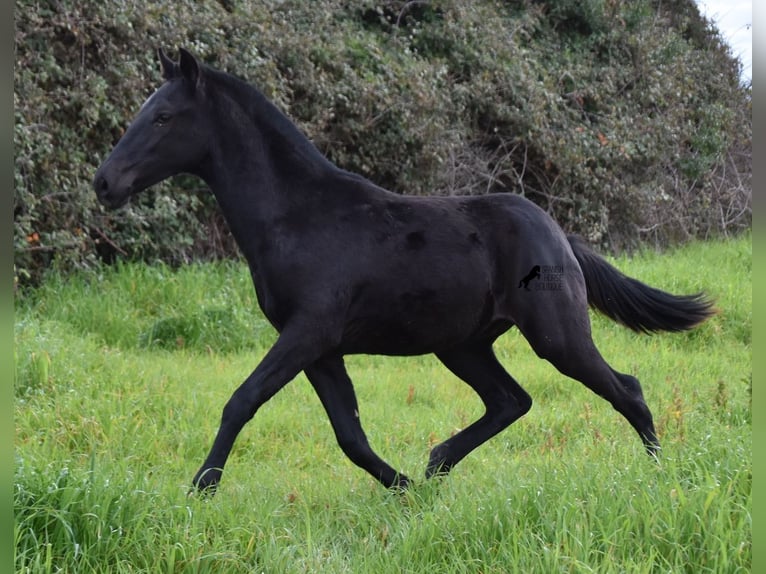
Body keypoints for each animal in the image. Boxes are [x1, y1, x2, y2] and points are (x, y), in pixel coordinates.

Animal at [93, 49, 716, 496]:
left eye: (163, 116)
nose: (104, 183)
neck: (298, 216)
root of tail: (559, 235)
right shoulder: (320, 348)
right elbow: (349, 434)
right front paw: (405, 488)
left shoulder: (308, 332)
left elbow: (242, 400)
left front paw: (201, 488)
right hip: (463, 345)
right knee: (511, 400)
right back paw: (437, 465)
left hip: (555, 334)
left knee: (626, 390)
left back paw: (661, 479)